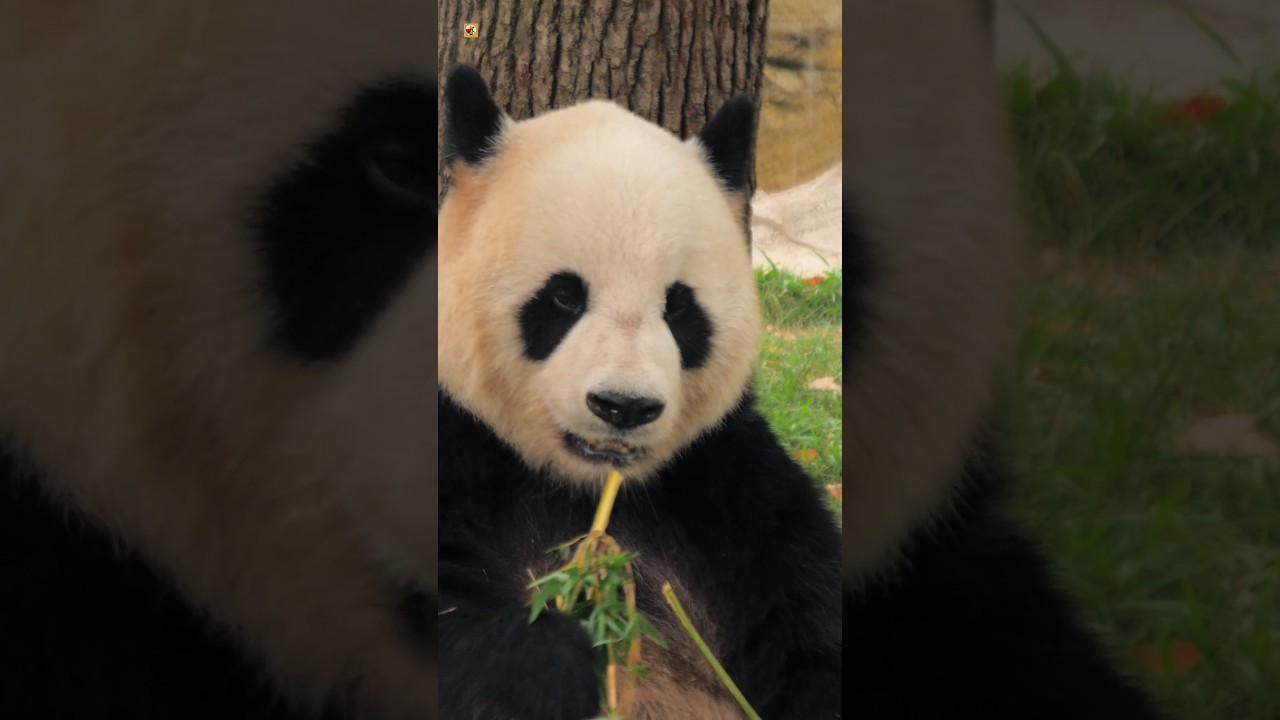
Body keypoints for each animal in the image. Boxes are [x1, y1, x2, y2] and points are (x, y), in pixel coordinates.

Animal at [436, 66, 843, 720]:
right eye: (564, 296)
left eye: (678, 306)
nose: (623, 407)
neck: (583, 490)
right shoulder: (452, 444)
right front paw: (552, 662)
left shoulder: (722, 482)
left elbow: (811, 607)